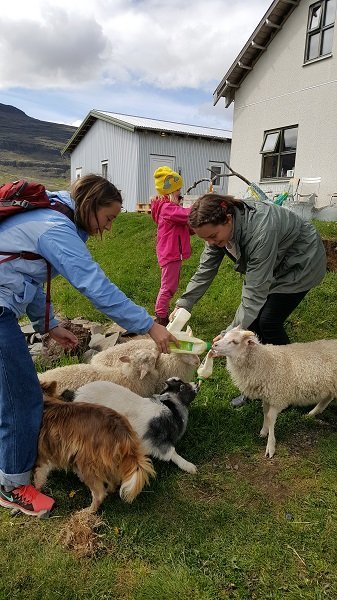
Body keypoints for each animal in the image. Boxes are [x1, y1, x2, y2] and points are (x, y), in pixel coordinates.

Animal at [34, 382, 154, 512]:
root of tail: (121, 431)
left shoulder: (41, 458)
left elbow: (38, 477)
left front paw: (36, 492)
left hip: (86, 465)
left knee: (99, 494)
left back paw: (89, 510)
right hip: (108, 461)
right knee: (113, 481)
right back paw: (109, 490)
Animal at [63, 380, 197, 474]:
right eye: (182, 387)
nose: (196, 383)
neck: (171, 408)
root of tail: (75, 394)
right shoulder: (157, 441)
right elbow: (172, 453)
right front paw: (190, 467)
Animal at [211, 328, 336, 460]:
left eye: (235, 341)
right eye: (225, 336)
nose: (214, 345)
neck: (265, 362)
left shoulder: (278, 397)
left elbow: (271, 418)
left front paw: (270, 446)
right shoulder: (267, 396)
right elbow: (265, 413)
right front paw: (263, 431)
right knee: (328, 398)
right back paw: (312, 413)